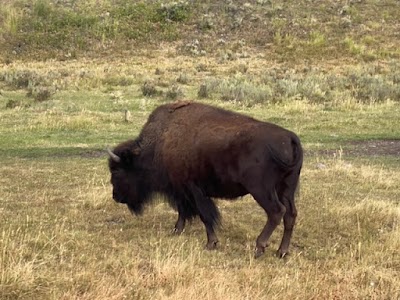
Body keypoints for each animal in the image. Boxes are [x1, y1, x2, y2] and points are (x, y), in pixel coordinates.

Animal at [108, 101, 302, 258]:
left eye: (117, 172)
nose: (116, 196)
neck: (160, 142)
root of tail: (290, 138)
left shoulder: (193, 190)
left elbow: (205, 216)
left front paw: (211, 243)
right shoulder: (181, 190)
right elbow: (182, 211)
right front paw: (177, 230)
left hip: (262, 190)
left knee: (277, 212)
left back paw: (259, 248)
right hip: (286, 188)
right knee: (290, 215)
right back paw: (282, 252)